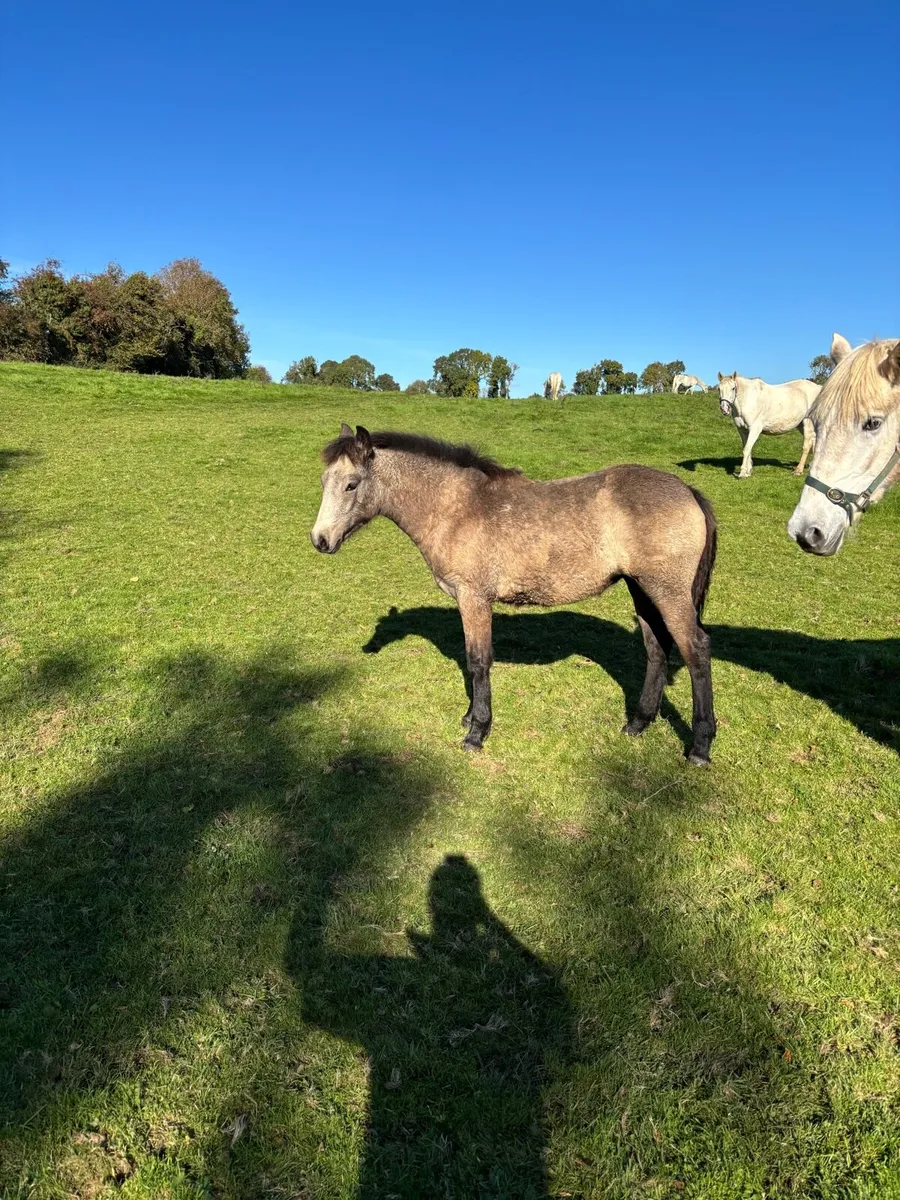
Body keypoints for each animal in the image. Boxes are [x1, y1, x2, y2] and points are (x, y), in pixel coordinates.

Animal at [311, 424, 718, 765]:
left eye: (351, 484)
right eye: (324, 480)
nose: (320, 540)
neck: (456, 508)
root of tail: (688, 492)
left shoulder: (474, 598)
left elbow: (478, 661)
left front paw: (477, 733)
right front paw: (469, 718)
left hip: (667, 593)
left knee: (696, 651)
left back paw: (699, 748)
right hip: (642, 589)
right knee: (656, 649)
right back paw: (637, 724)